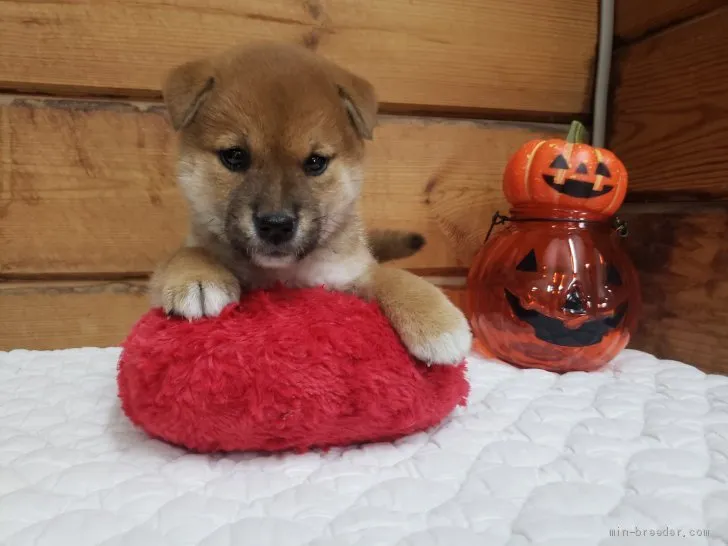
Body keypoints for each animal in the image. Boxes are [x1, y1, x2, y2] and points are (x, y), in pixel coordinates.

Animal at [152, 42, 472, 364]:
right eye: (234, 156)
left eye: (315, 162)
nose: (276, 225)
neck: (284, 274)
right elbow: (185, 253)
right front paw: (197, 276)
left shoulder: (350, 272)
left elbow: (393, 276)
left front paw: (437, 321)